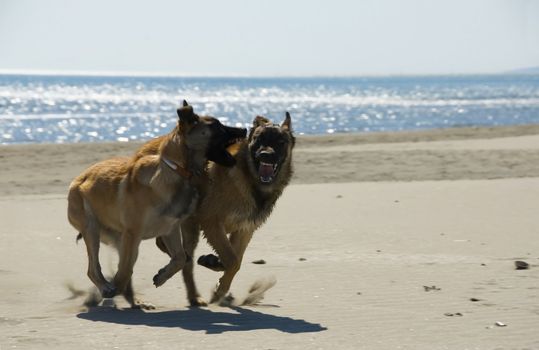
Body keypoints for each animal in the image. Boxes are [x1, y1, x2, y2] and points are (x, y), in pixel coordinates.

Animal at [66, 101, 249, 308]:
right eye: (217, 126)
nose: (244, 129)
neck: (178, 171)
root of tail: (78, 180)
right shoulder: (133, 234)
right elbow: (126, 269)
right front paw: (114, 288)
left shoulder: (170, 229)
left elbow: (180, 258)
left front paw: (162, 276)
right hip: (93, 229)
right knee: (94, 269)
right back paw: (108, 288)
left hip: (118, 238)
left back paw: (135, 301)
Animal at [156, 113, 298, 306]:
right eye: (258, 139)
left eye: (280, 142)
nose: (265, 155)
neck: (249, 179)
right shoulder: (212, 223)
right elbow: (232, 260)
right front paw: (219, 286)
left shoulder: (244, 230)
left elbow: (235, 260)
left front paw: (217, 274)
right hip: (190, 227)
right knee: (182, 258)